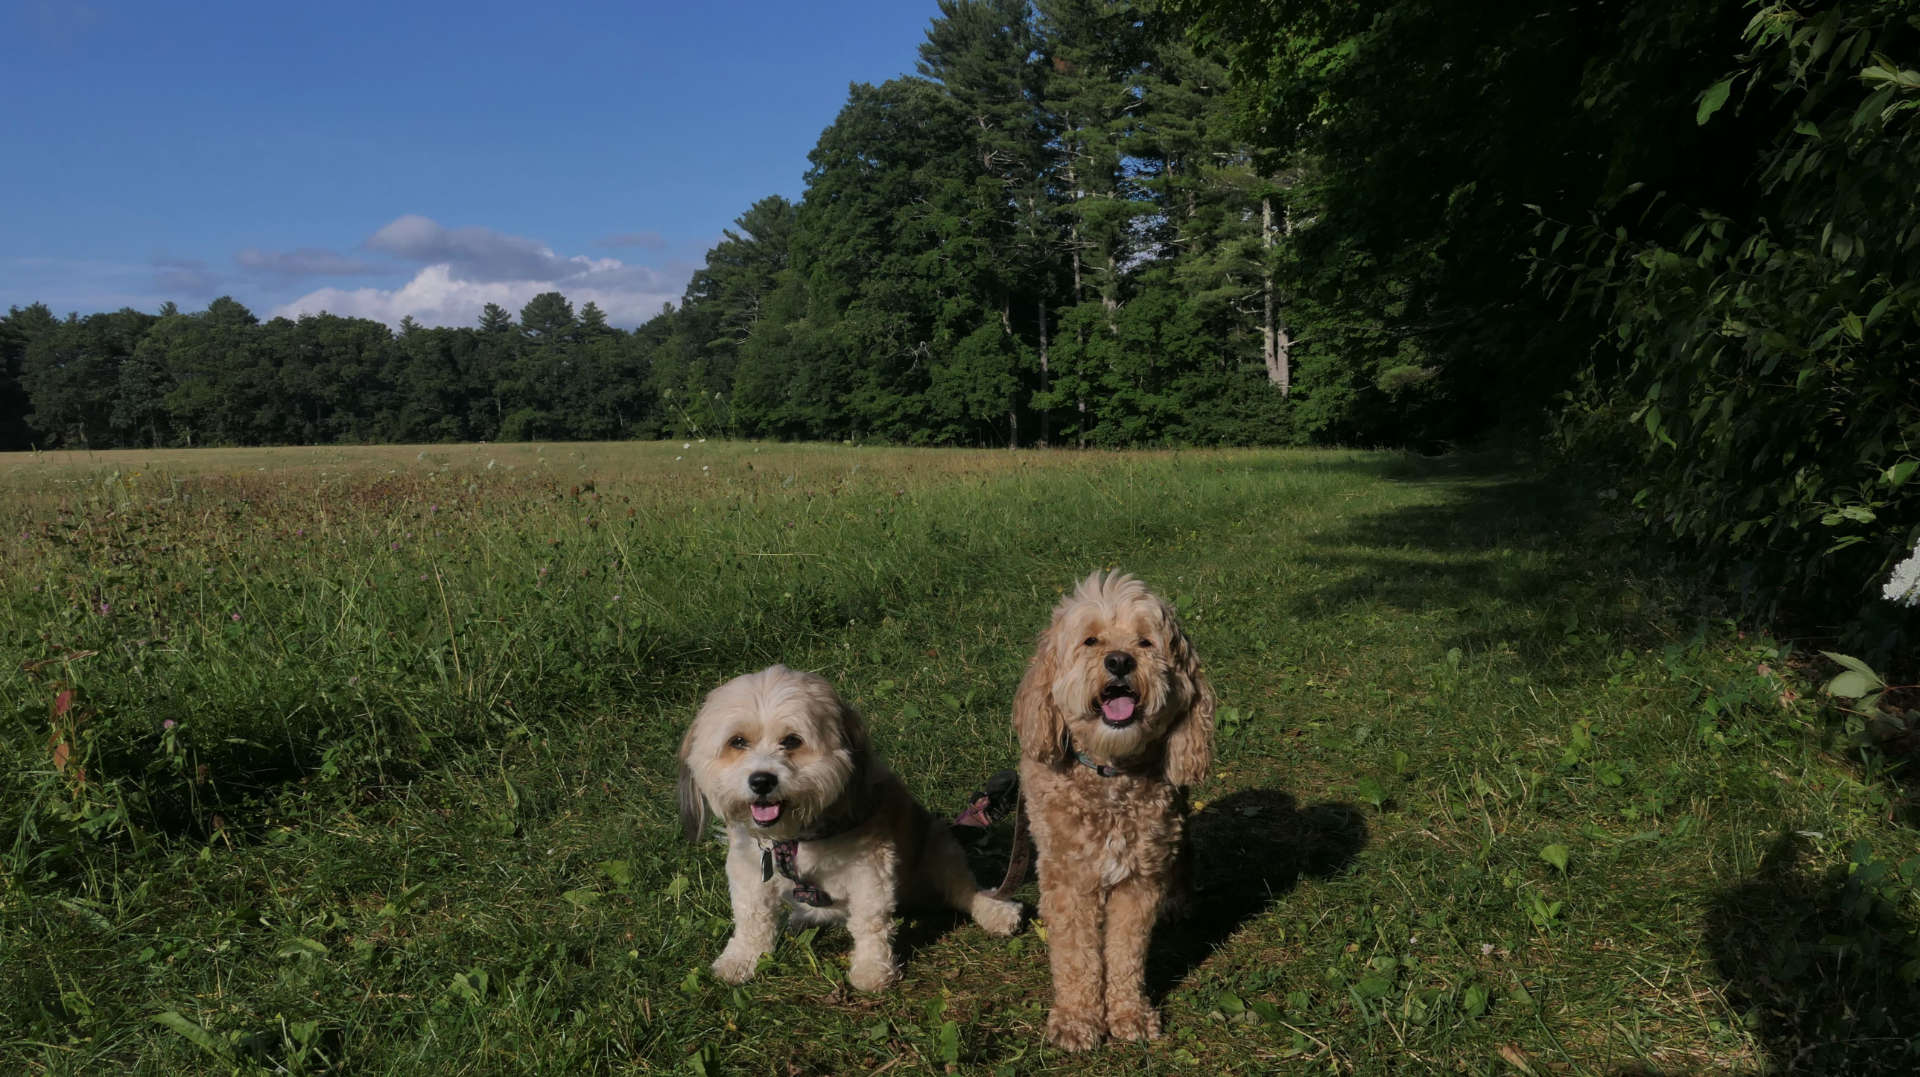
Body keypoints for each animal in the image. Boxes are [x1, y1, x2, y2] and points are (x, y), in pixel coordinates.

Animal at [683, 664, 1029, 990]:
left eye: (792, 740)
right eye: (737, 742)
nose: (761, 781)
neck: (796, 835)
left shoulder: (869, 865)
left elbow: (869, 920)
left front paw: (872, 969)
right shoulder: (748, 864)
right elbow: (751, 916)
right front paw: (741, 959)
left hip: (938, 847)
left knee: (964, 890)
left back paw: (995, 911)